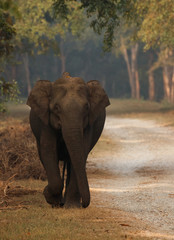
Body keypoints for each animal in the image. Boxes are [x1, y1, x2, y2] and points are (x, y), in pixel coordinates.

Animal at [26, 71, 109, 208]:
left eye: (86, 107)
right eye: (56, 108)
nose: (84, 204)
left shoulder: (89, 124)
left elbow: (82, 152)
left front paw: (72, 207)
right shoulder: (45, 123)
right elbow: (48, 151)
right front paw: (49, 197)